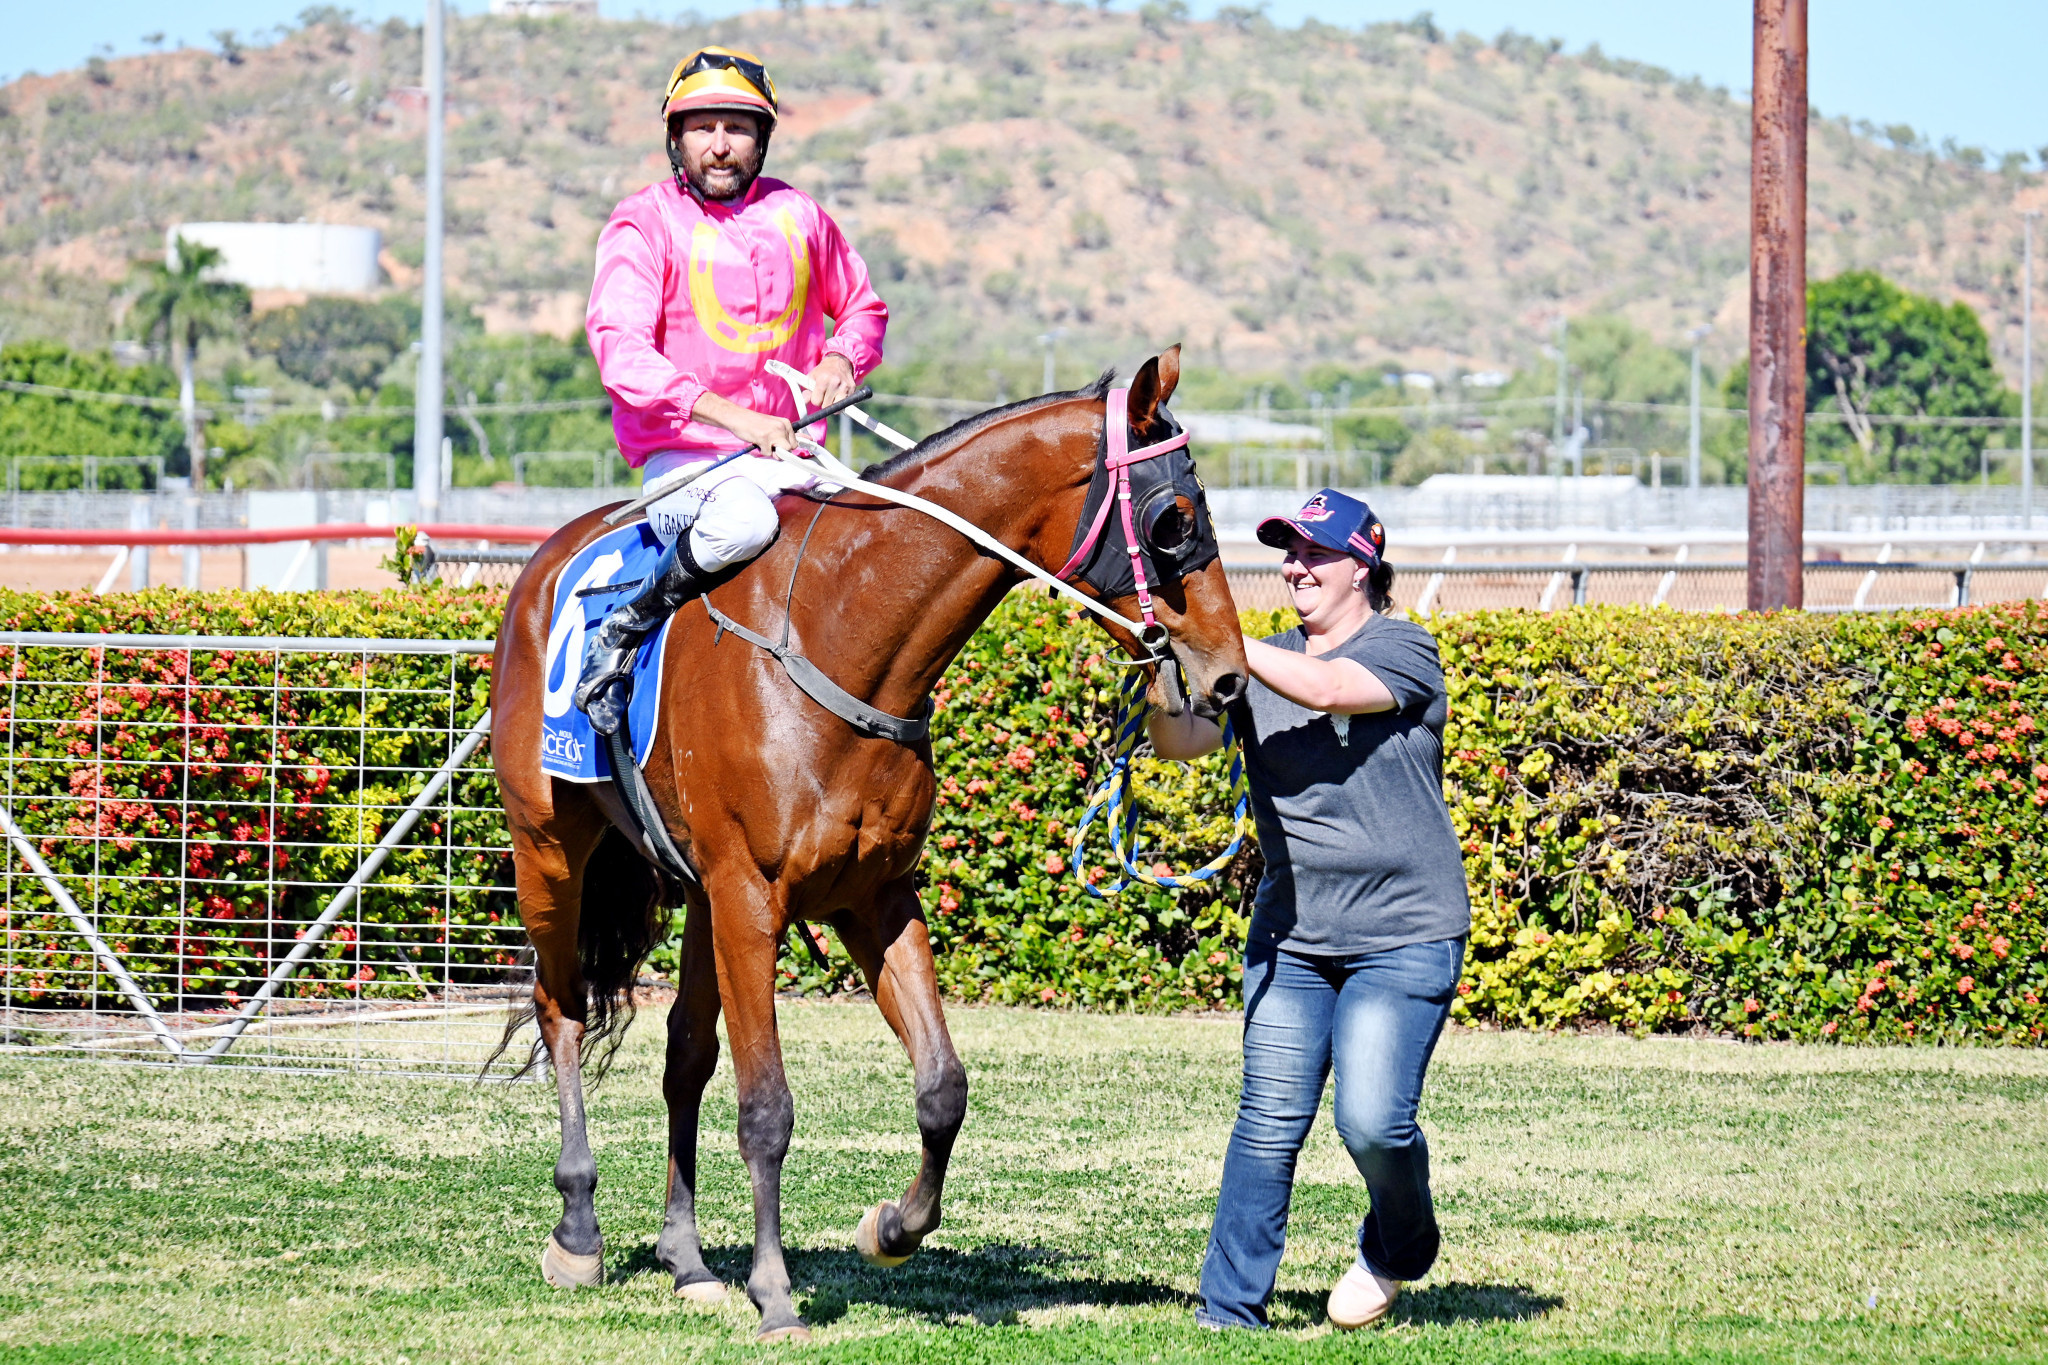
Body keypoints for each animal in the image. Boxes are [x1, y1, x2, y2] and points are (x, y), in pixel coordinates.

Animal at [491, 349, 1245, 1342]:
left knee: (684, 1052)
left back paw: (687, 1258)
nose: (1230, 675)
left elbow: (942, 1085)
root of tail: (542, 561)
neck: (841, 637)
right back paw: (578, 1230)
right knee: (562, 1009)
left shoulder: (873, 896)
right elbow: (767, 1108)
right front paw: (776, 1293)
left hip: (694, 894)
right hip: (550, 849)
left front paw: (891, 1227)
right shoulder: (753, 896)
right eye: (1174, 519)